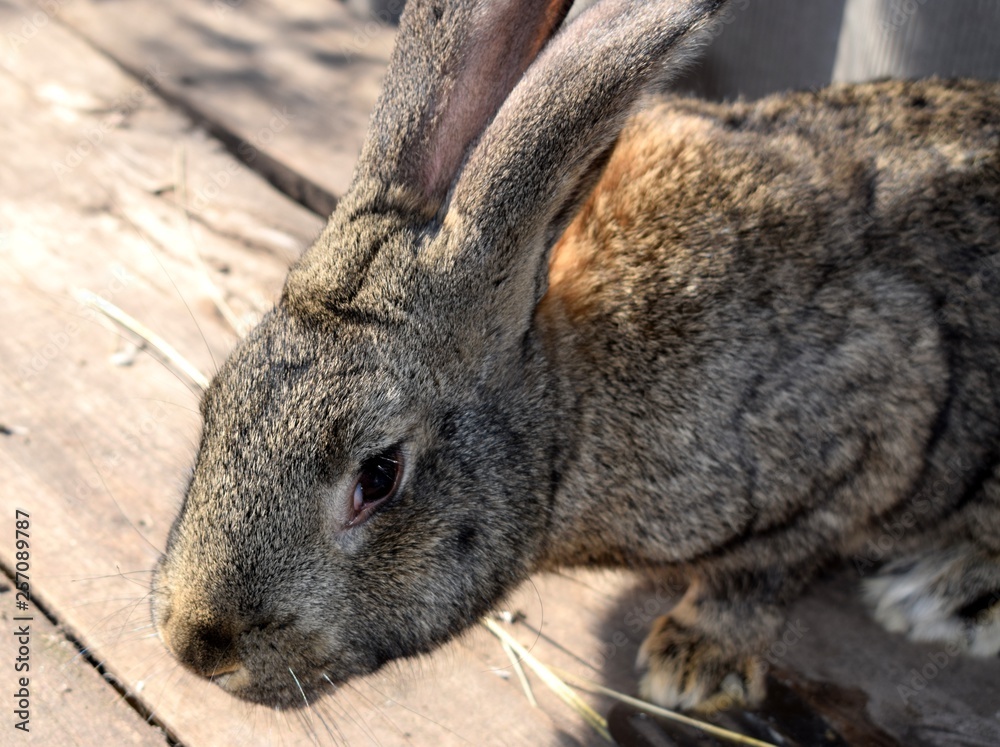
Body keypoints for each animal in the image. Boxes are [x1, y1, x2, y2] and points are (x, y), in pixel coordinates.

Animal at [151, 0, 1000, 715]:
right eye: (213, 403)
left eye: (379, 475)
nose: (197, 646)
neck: (568, 410)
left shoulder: (873, 422)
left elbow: (765, 570)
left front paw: (691, 664)